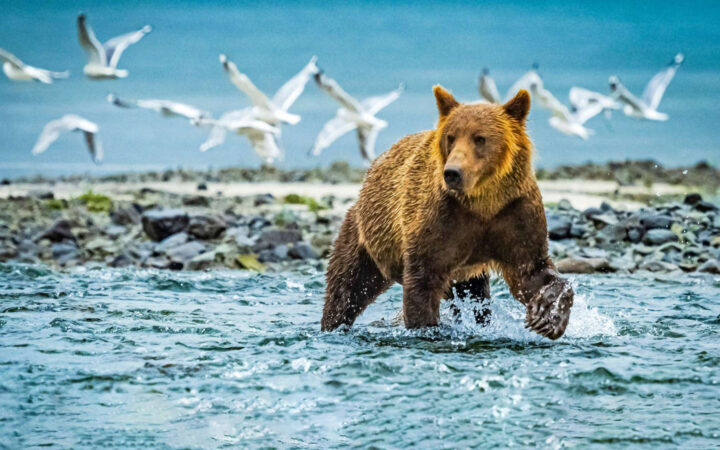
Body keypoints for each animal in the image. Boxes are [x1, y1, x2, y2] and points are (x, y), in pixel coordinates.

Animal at [321, 86, 574, 340]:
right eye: (451, 137)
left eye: (480, 138)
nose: (453, 172)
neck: (482, 203)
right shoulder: (441, 219)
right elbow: (423, 280)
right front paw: (427, 327)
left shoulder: (514, 213)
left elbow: (531, 271)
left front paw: (547, 315)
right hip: (367, 237)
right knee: (347, 287)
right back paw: (334, 323)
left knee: (476, 297)